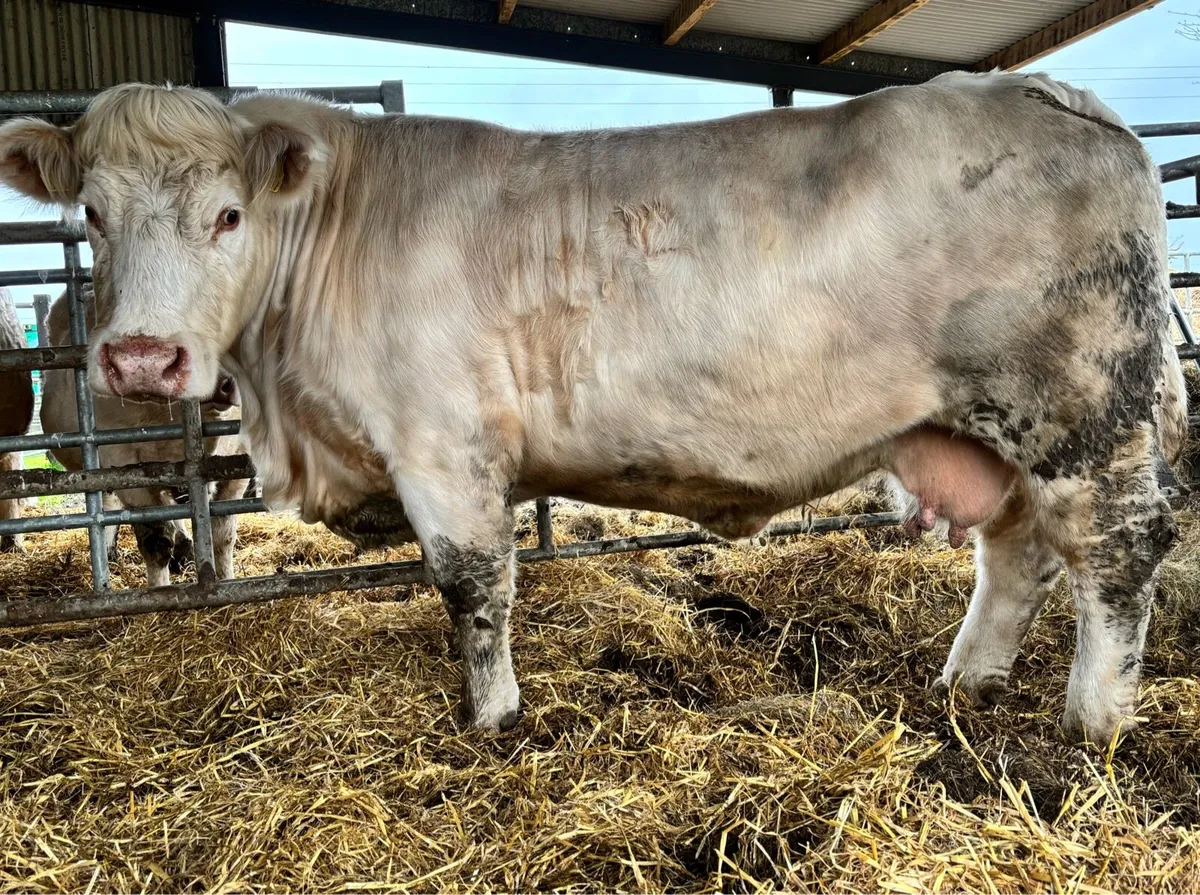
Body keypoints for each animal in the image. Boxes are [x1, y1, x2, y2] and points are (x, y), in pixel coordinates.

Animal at [40, 288, 249, 586]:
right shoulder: (123, 462)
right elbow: (156, 540)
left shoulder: (238, 460)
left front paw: (227, 581)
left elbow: (223, 534)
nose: (225, 383)